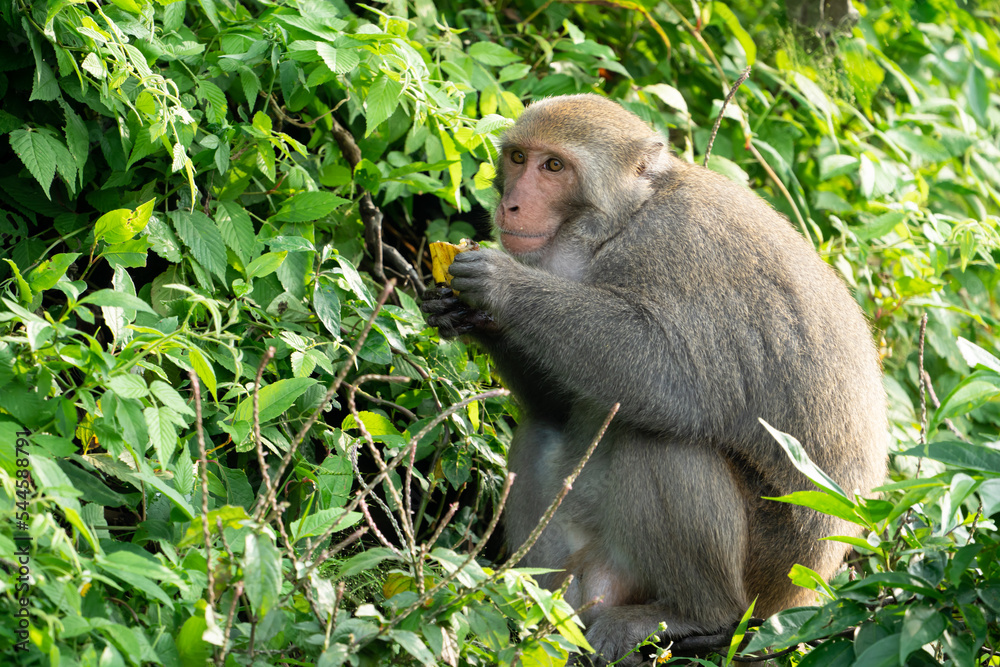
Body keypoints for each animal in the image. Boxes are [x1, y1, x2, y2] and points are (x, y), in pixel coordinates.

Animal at [418, 92, 888, 664]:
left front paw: (501, 286)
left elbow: (667, 376)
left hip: (770, 573)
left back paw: (698, 617)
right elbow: (556, 404)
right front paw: (462, 313)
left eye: (553, 167)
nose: (510, 205)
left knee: (664, 441)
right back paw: (534, 608)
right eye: (518, 158)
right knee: (539, 429)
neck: (621, 223)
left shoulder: (679, 249)